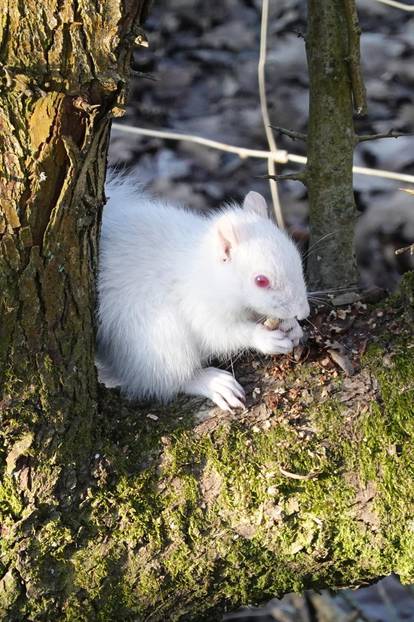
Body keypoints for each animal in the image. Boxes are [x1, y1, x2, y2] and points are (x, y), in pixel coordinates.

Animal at [97, 176, 308, 412]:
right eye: (261, 281)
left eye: (296, 255)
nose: (303, 312)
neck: (211, 273)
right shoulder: (198, 305)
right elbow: (219, 333)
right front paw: (264, 338)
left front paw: (292, 326)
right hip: (159, 338)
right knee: (168, 379)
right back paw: (212, 382)